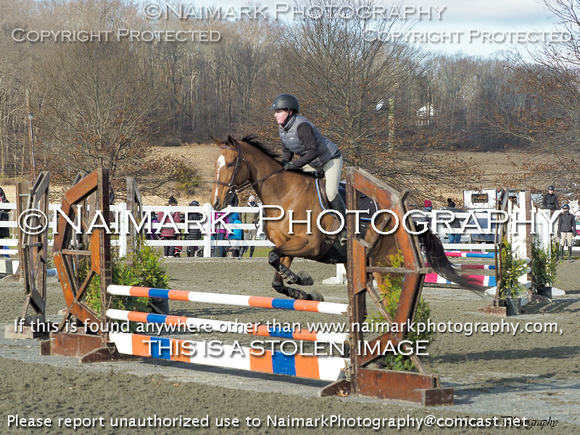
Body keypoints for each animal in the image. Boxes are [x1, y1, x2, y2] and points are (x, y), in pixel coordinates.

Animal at [212, 135, 480, 302]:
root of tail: (406, 220)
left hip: (385, 263)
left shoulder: (310, 245)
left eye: (231, 164)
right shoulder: (287, 246)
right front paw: (306, 291)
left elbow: (272, 257)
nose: (216, 203)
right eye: (216, 164)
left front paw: (300, 278)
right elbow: (276, 270)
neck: (284, 194)